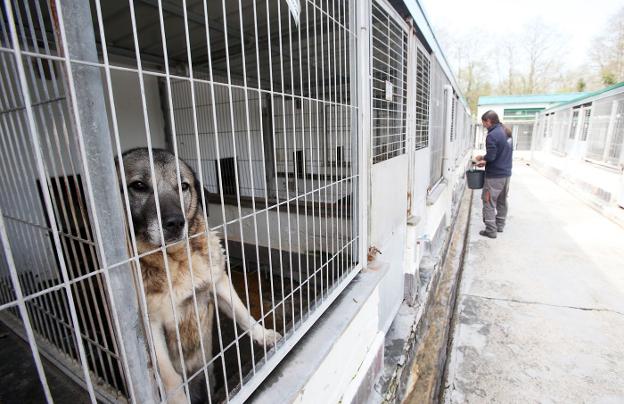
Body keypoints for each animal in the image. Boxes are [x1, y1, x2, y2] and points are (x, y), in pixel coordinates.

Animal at [119, 149, 280, 404]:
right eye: (138, 186)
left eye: (183, 186)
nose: (176, 222)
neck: (176, 260)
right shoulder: (150, 325)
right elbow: (170, 377)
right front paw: (179, 399)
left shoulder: (219, 282)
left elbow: (244, 314)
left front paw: (263, 335)